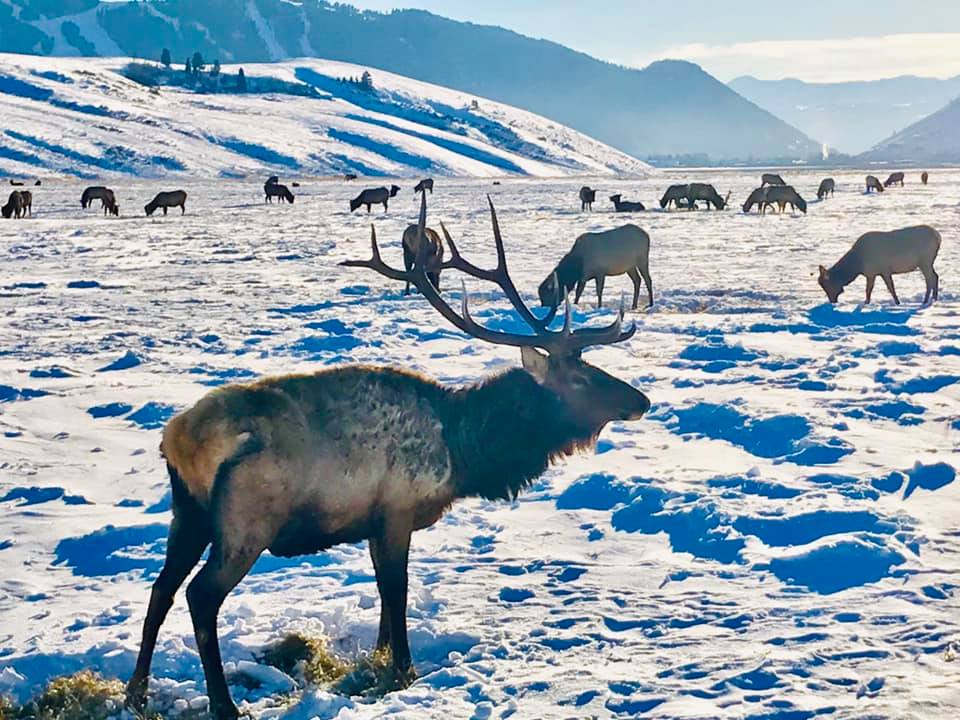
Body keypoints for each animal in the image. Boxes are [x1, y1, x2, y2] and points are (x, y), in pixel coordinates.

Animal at [125, 191, 652, 720]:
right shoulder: (397, 512)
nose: (642, 400)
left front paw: (378, 658)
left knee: (161, 589)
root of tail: (180, 438)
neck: (465, 451)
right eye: (581, 378)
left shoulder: (372, 522)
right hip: (246, 522)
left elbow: (381, 594)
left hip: (188, 513)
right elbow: (397, 594)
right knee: (200, 596)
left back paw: (137, 692)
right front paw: (404, 670)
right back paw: (223, 703)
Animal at [812, 225, 940, 304]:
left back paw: (926, 300)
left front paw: (897, 302)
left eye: (827, 285)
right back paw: (934, 299)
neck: (857, 265)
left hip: (925, 261)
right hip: (928, 262)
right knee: (935, 276)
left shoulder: (884, 270)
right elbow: (868, 290)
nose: (832, 301)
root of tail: (938, 237)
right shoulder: (871, 274)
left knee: (930, 278)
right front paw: (866, 302)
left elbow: (891, 288)